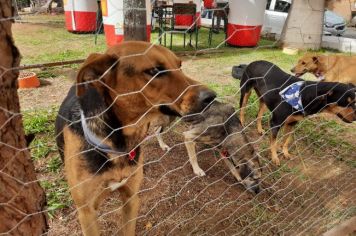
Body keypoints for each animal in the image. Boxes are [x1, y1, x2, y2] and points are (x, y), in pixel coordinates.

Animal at [55, 41, 217, 235]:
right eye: (154, 70)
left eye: (179, 65)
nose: (212, 97)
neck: (116, 144)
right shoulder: (87, 213)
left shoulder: (131, 198)